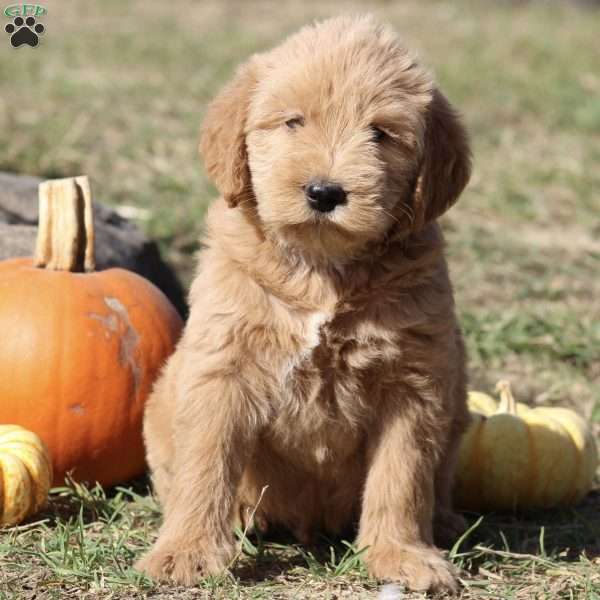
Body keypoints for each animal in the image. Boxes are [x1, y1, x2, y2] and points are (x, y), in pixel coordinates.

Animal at [136, 15, 474, 596]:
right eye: (293, 122)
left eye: (380, 133)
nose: (324, 192)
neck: (321, 271)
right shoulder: (222, 370)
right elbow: (206, 466)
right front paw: (187, 552)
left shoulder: (414, 384)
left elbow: (402, 478)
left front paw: (401, 555)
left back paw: (447, 521)